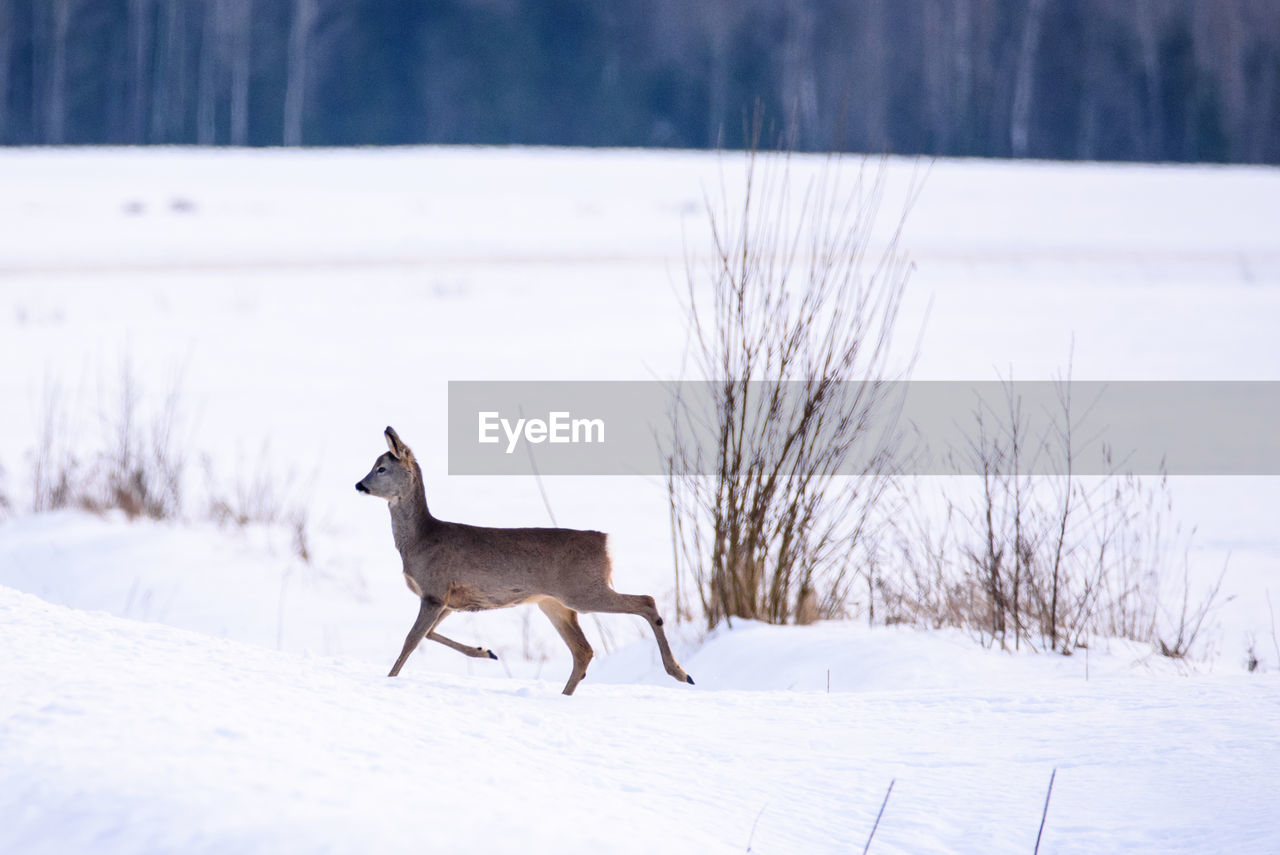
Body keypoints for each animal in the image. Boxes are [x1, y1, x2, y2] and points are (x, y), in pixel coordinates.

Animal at [355, 427, 696, 696]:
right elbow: (427, 635)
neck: (421, 539)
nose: (359, 484)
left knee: (646, 601)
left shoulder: (435, 592)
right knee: (584, 650)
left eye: (381, 467)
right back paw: (565, 695)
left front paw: (390, 679)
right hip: (554, 603)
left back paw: (680, 673)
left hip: (582, 590)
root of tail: (605, 543)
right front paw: (485, 651)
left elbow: (412, 639)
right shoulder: (449, 600)